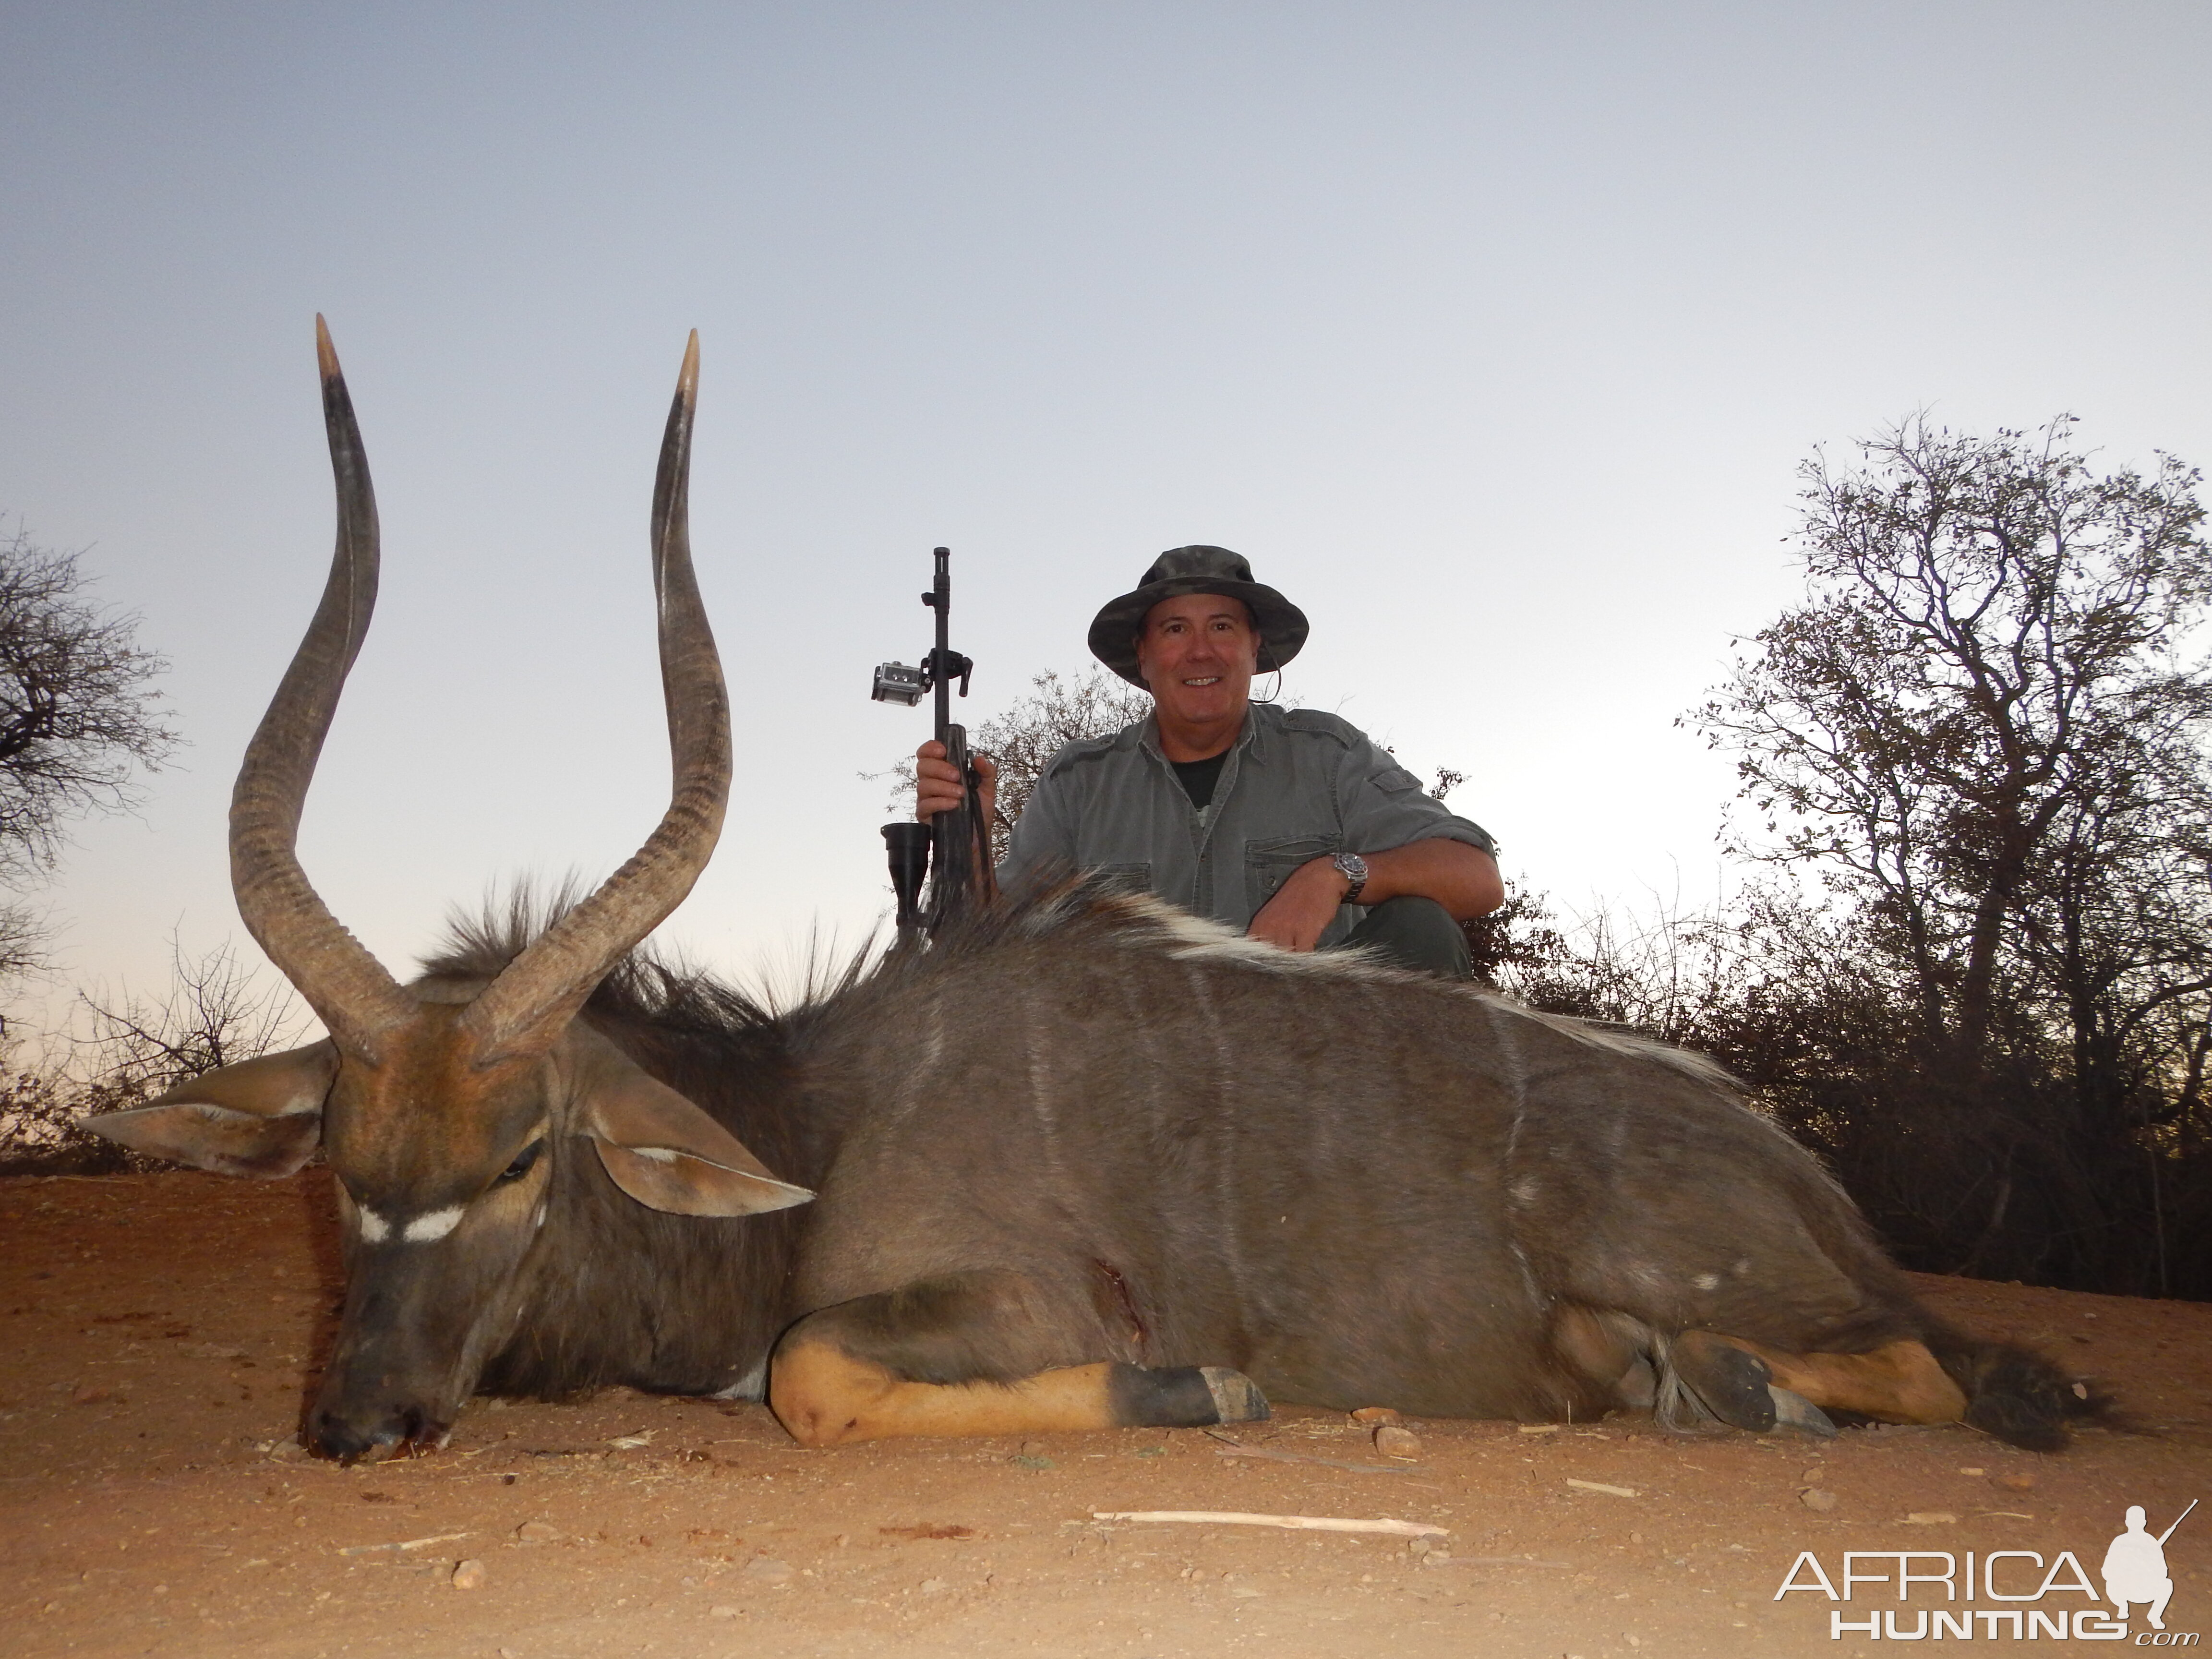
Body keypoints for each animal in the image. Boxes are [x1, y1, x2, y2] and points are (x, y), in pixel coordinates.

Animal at [82, 327, 2088, 1468]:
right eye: (342, 1164)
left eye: (519, 1159)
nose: (352, 1425)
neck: (815, 1116)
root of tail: (1804, 1181)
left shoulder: (1005, 1300)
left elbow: (813, 1377)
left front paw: (1203, 1393)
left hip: (1770, 1290)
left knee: (1961, 1370)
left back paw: (1722, 1385)